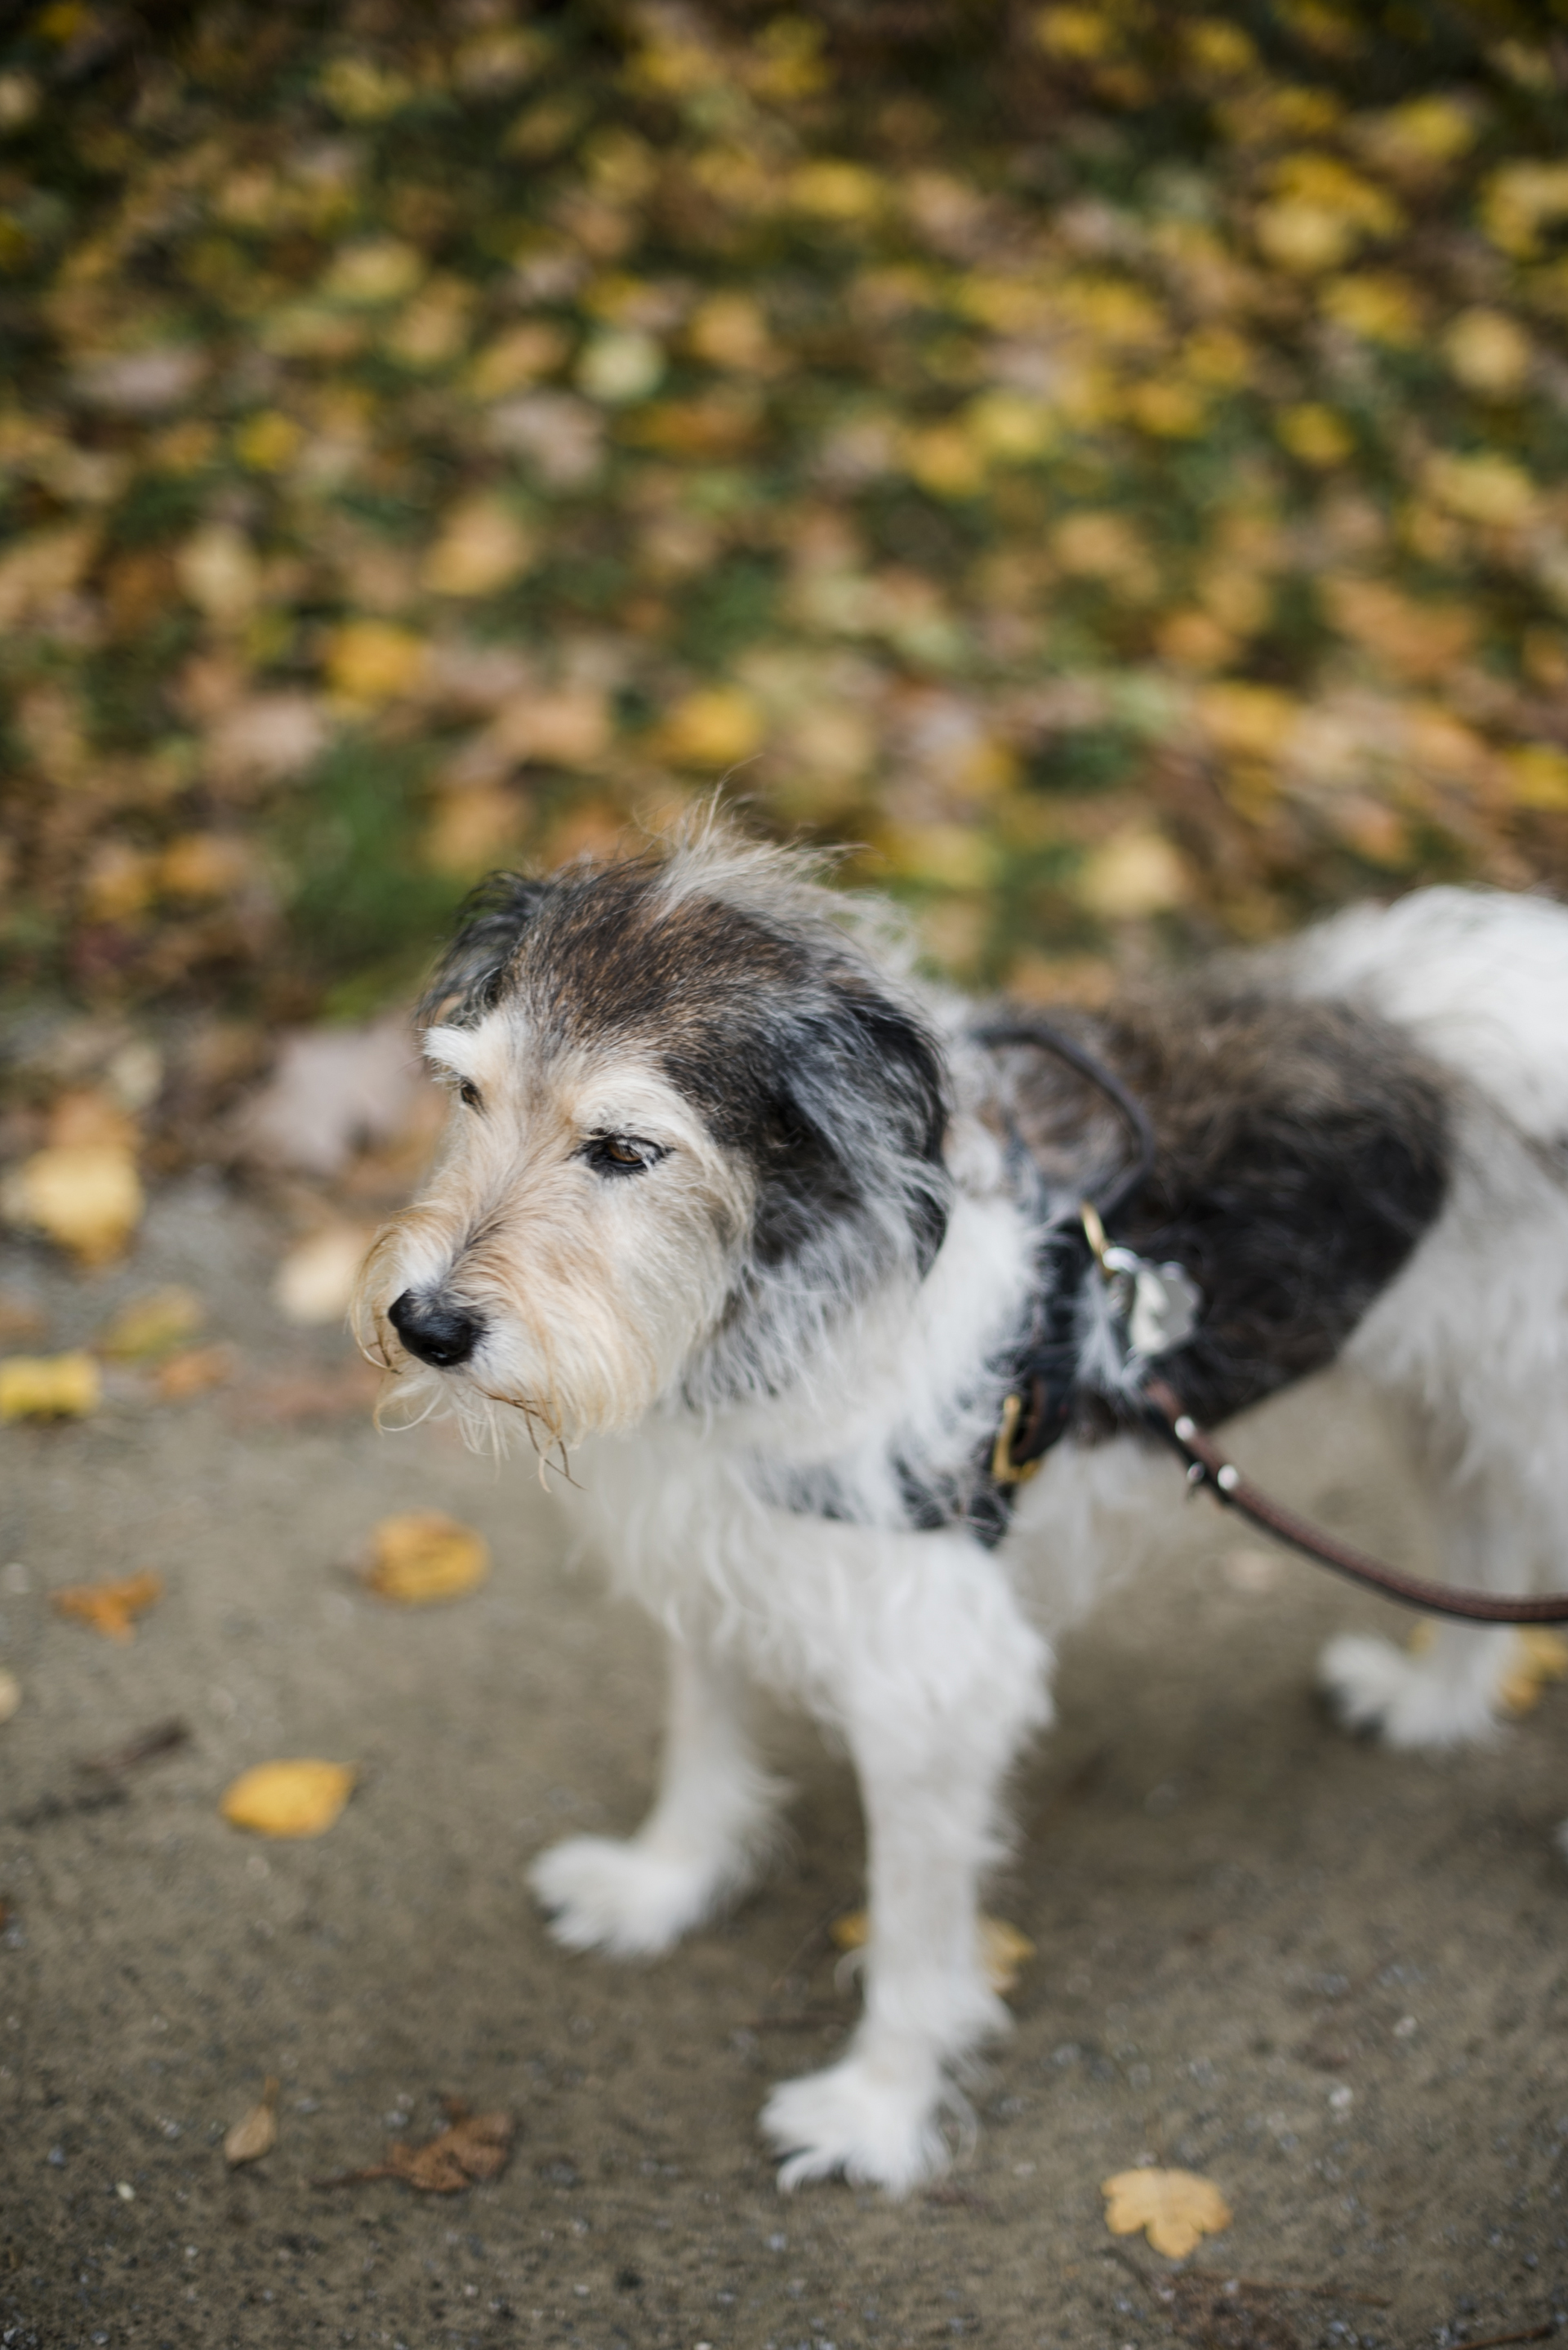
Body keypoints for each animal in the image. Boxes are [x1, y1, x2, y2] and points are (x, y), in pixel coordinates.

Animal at [362, 818, 1568, 2190]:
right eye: (467, 1094)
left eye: (622, 1149)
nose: (425, 1323)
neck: (766, 1296)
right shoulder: (726, 1551)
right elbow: (704, 1742)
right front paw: (662, 1885)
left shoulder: (930, 1680)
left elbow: (909, 1933)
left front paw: (878, 2109)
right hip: (1457, 1401)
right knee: (1482, 1541)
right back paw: (1433, 1704)